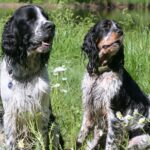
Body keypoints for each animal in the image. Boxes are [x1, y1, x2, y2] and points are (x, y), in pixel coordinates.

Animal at [0, 4, 63, 150]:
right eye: (30, 19)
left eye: (46, 17)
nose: (51, 26)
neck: (26, 73)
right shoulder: (9, 114)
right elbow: (10, 141)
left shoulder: (43, 112)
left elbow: (42, 139)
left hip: (54, 125)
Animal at [77, 19, 150, 149]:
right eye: (105, 26)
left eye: (119, 27)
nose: (121, 32)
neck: (100, 73)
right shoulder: (89, 108)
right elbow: (81, 137)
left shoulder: (114, 116)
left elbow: (110, 143)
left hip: (138, 140)